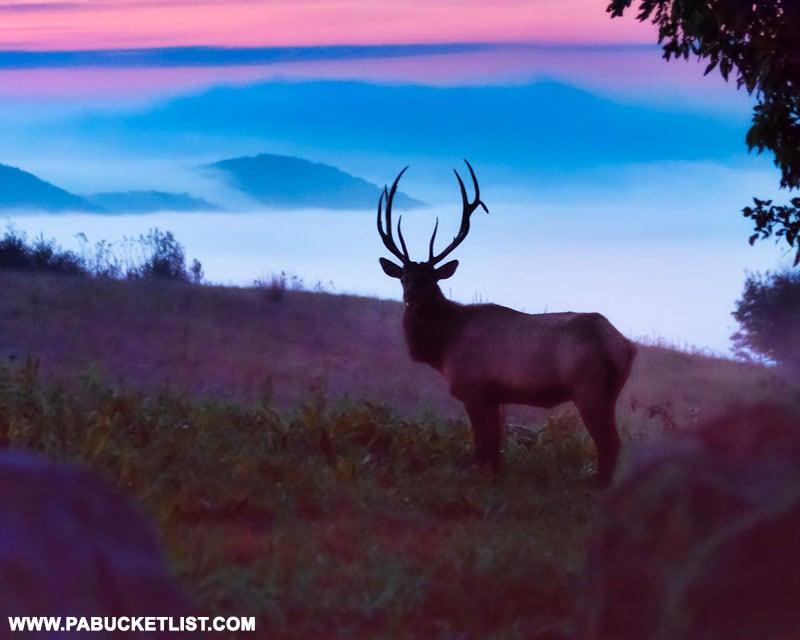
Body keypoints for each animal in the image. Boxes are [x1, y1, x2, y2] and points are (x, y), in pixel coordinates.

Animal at [378, 161, 636, 484]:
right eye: (403, 277)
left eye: (430, 279)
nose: (411, 297)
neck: (444, 346)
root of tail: (623, 346)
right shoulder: (495, 397)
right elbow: (495, 451)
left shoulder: (473, 389)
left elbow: (482, 447)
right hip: (611, 392)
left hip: (589, 387)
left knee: (609, 443)